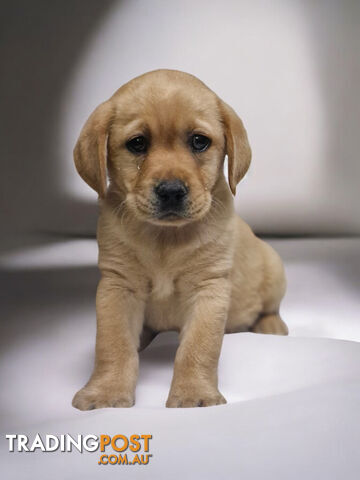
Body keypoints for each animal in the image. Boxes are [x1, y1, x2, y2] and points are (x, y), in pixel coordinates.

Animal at [72, 69, 286, 410]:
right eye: (137, 144)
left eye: (199, 141)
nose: (171, 191)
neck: (165, 239)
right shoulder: (117, 285)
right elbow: (112, 344)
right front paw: (106, 392)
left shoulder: (208, 288)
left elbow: (198, 348)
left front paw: (194, 394)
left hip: (274, 268)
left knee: (269, 308)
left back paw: (273, 327)